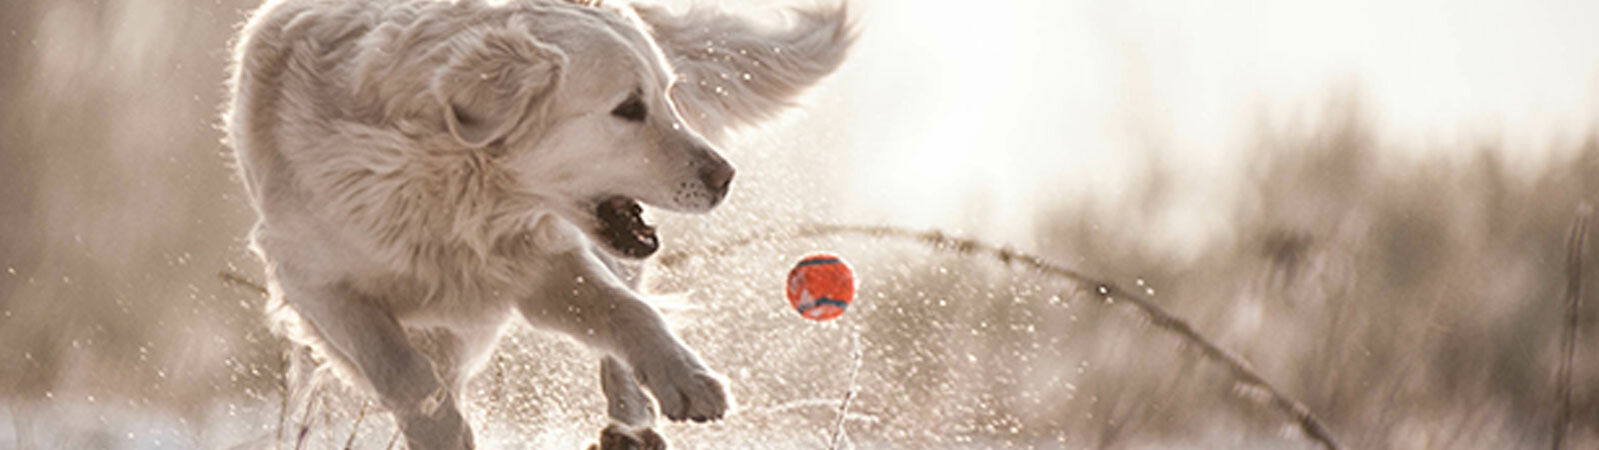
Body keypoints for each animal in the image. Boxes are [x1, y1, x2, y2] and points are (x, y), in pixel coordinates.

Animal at [223, 0, 850, 445]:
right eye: (629, 108)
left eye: (668, 95)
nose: (725, 176)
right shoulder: (310, 280)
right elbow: (401, 369)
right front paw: (443, 431)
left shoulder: (542, 268)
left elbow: (628, 312)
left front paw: (687, 378)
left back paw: (631, 430)